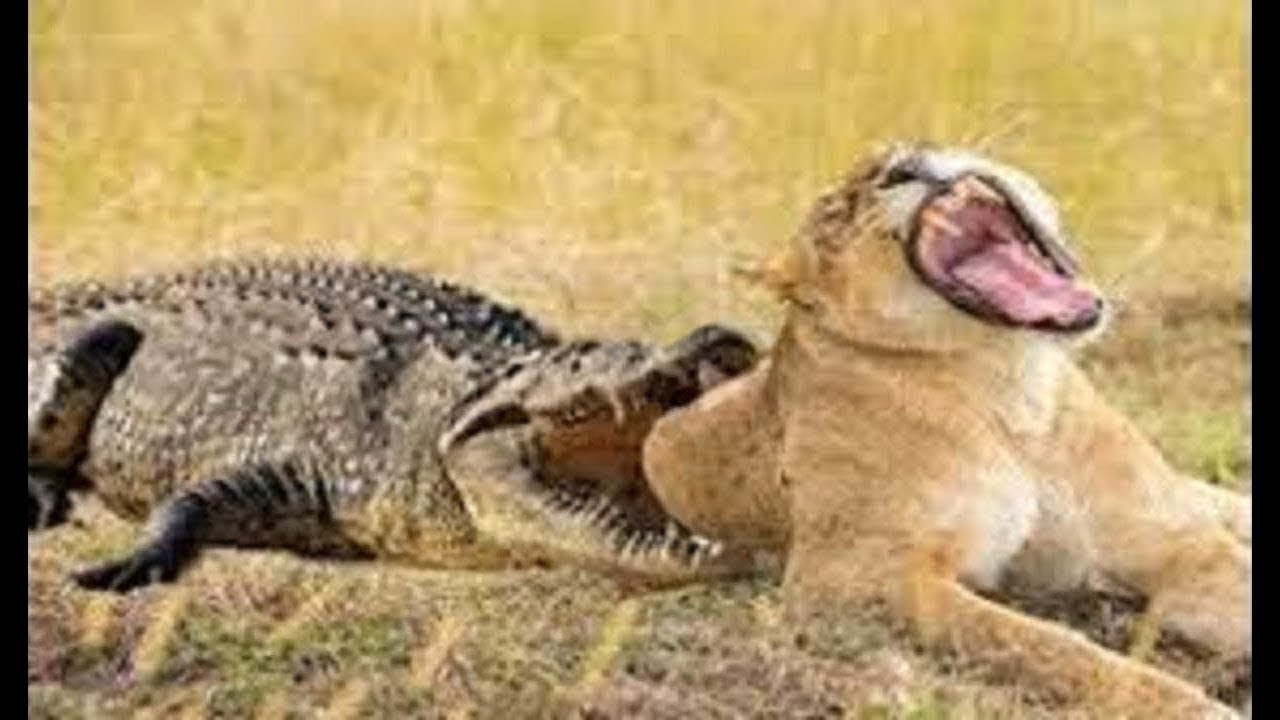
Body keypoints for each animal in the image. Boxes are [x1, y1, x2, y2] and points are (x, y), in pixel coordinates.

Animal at [641, 143, 1251, 717]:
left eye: (896, 152)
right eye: (839, 211)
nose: (903, 167)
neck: (1009, 378)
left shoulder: (1173, 542)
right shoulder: (858, 573)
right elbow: (1043, 644)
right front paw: (1195, 706)